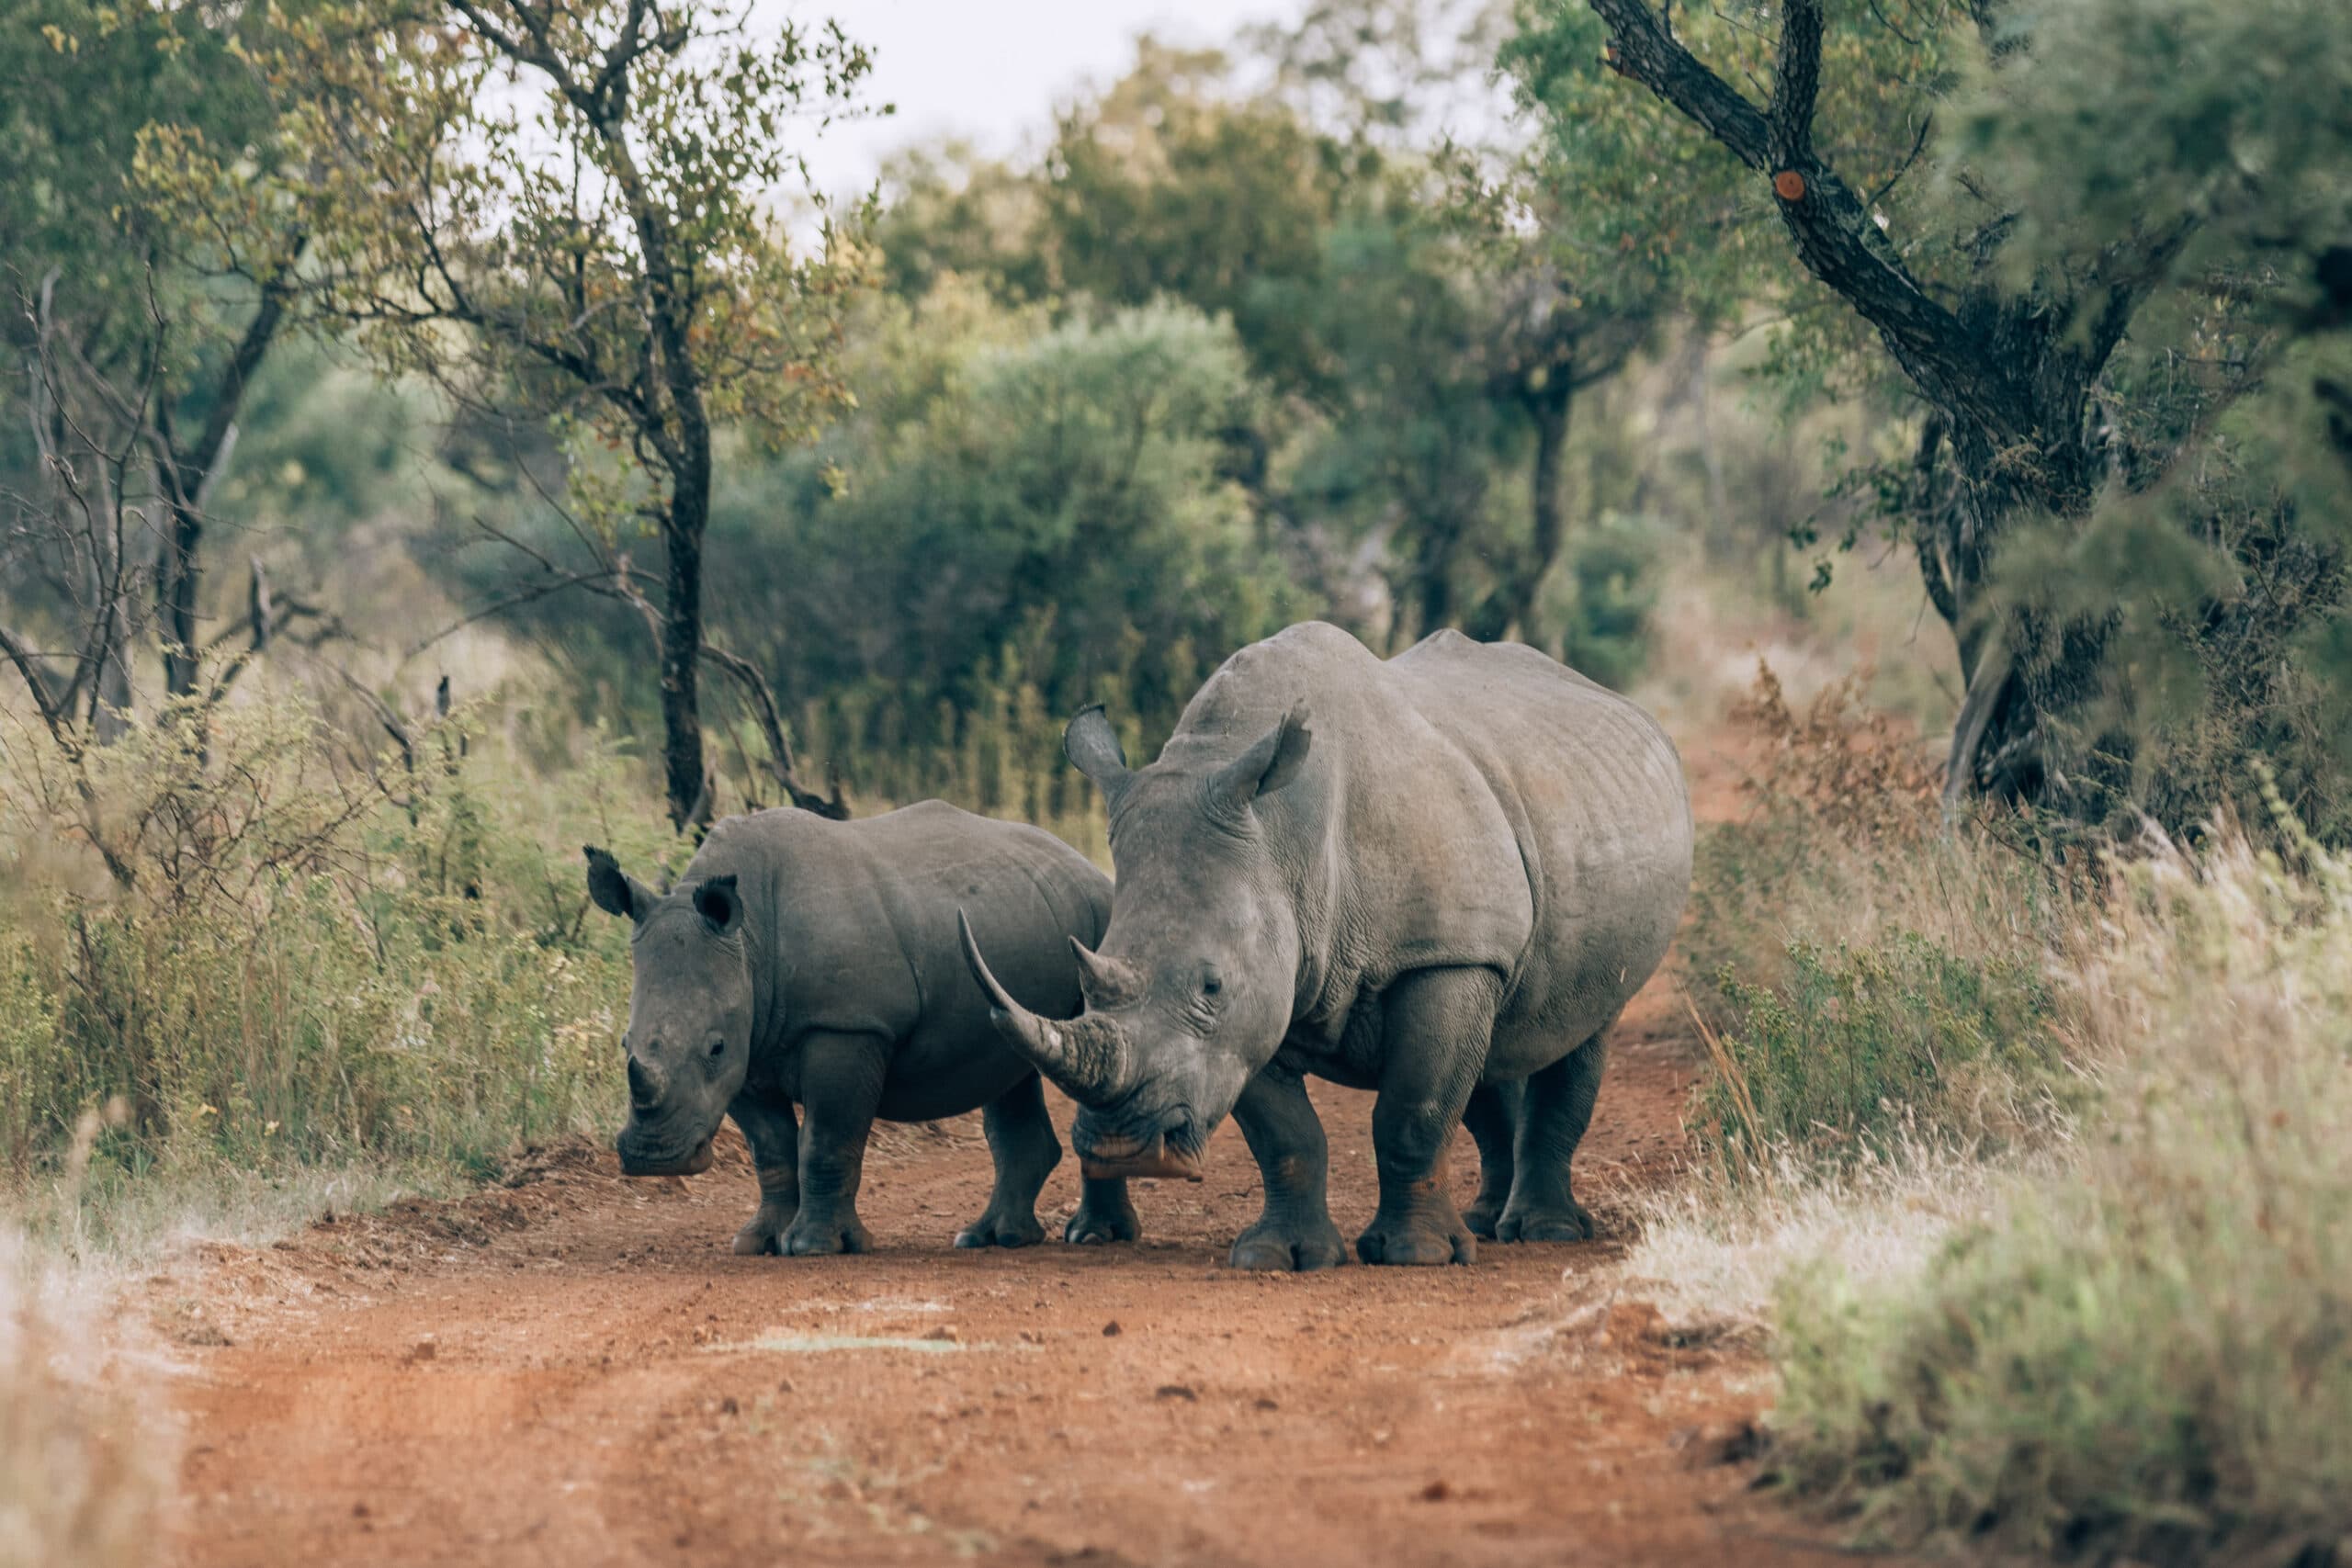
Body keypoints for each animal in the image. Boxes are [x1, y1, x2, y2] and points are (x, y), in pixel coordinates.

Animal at [585, 802, 1139, 1255]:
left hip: (1101, 933)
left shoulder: (846, 1027)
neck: (749, 939)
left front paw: (813, 1247)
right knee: (1010, 1069)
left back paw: (1091, 1238)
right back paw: (991, 1239)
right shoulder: (751, 1045)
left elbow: (826, 1139)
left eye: (714, 1047)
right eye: (624, 1042)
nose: (654, 1157)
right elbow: (771, 1149)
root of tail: (1088, 867)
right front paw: (758, 1242)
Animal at [960, 622, 1691, 1268]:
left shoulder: (1439, 955)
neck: (1285, 842)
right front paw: (1279, 1257)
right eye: (1085, 988)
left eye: (1211, 987)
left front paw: (1417, 1255)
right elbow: (1286, 1137)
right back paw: (1485, 1223)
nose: (1121, 1146)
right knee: (1496, 1043)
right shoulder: (1267, 990)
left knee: (1582, 1031)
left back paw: (1543, 1232)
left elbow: (1414, 1112)